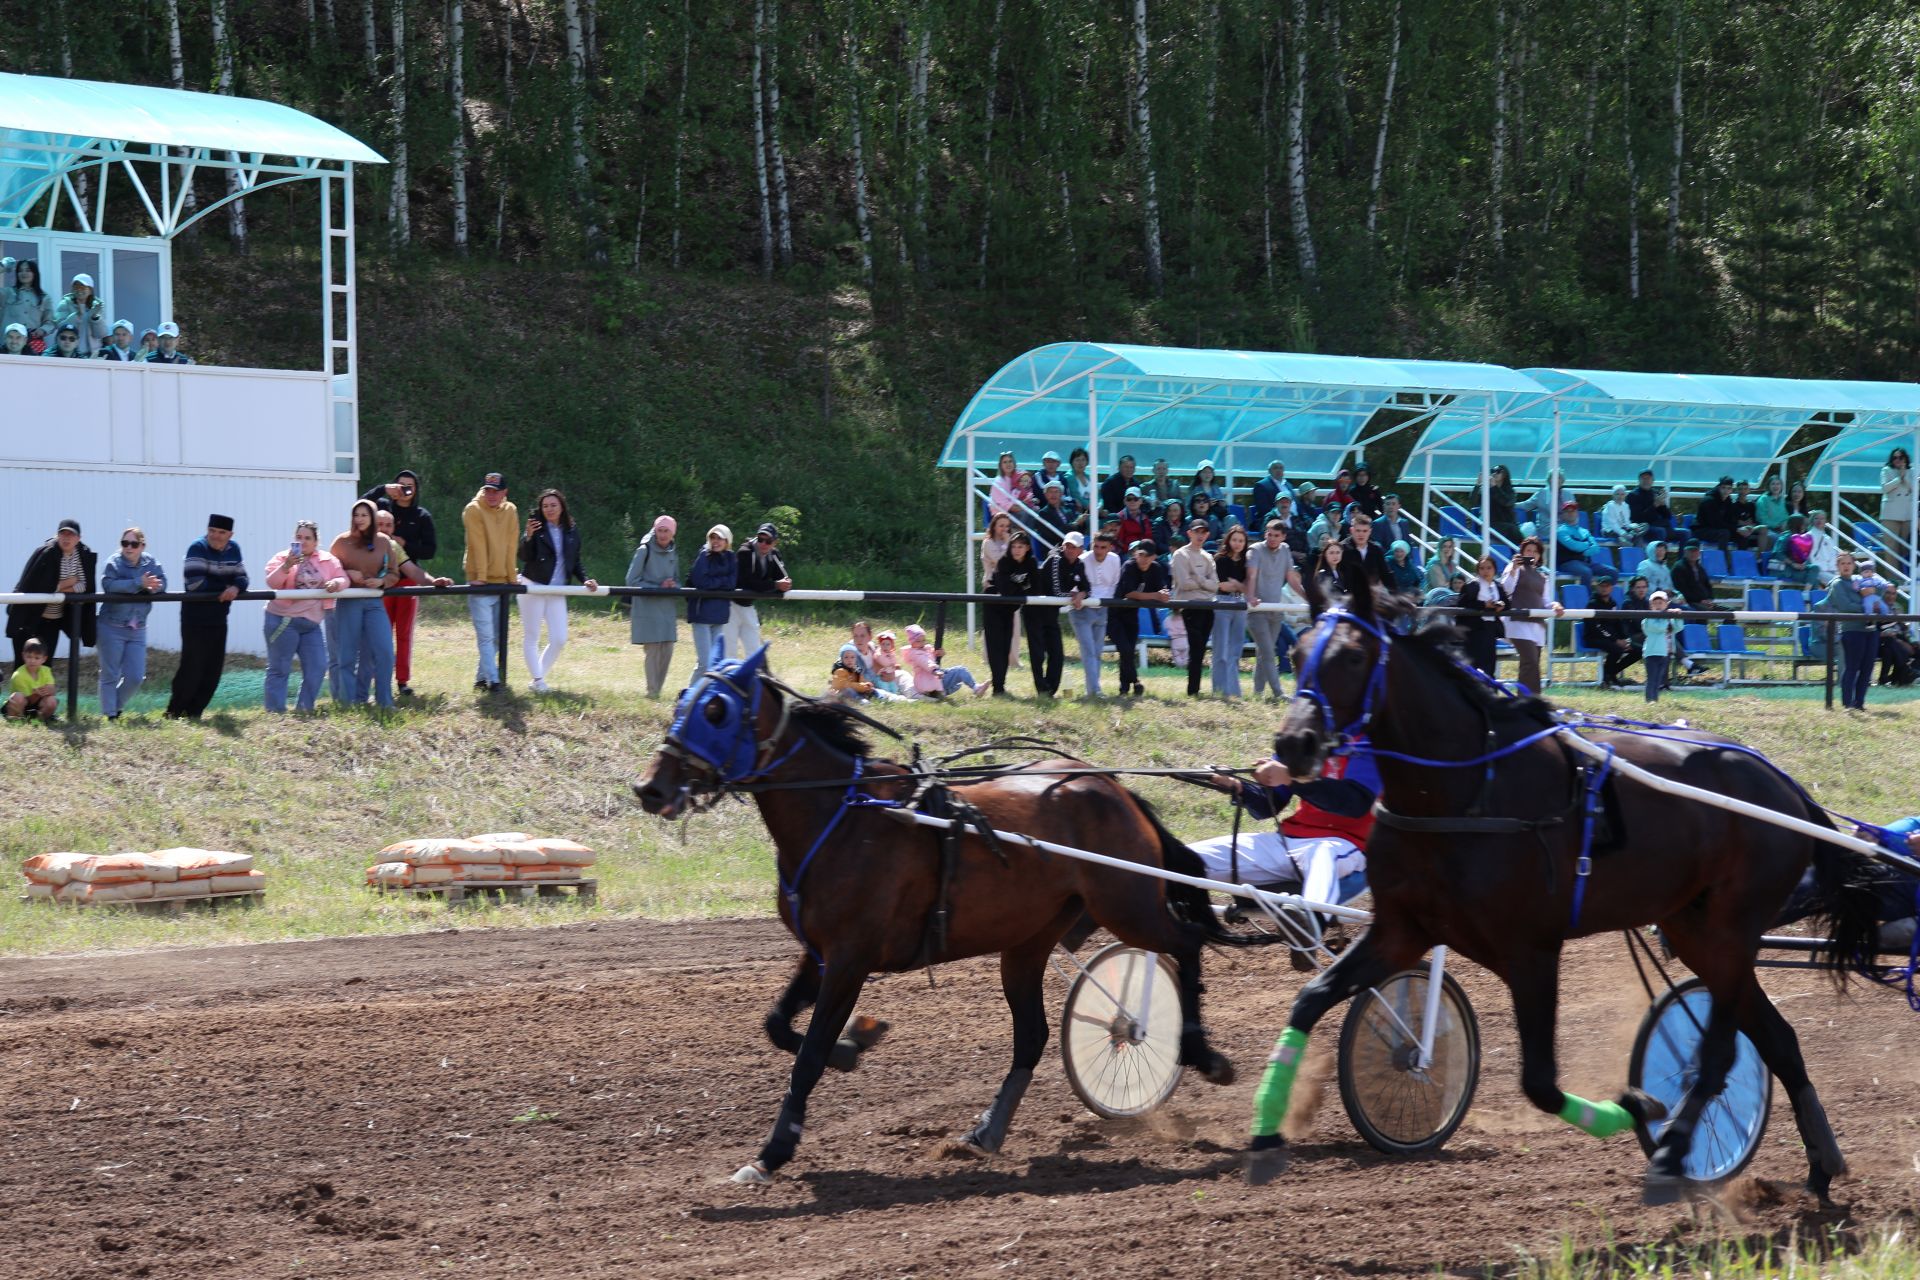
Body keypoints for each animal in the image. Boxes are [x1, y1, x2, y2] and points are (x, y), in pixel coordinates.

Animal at [622, 656, 1236, 1189]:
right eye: (682, 698)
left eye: (716, 710)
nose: (650, 786)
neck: (845, 815)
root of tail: (1111, 786)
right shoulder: (818, 952)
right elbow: (778, 1026)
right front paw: (855, 1044)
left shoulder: (850, 958)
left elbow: (810, 1054)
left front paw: (773, 1152)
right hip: (1028, 942)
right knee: (1033, 1036)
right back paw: (986, 1132)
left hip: (1127, 904)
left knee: (1186, 944)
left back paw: (1204, 1054)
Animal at [1244, 571, 1873, 1205]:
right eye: (1297, 653)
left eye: (1352, 656)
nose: (1294, 744)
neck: (1466, 791)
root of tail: (1786, 785)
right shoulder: (1402, 930)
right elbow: (1311, 998)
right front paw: (1266, 1132)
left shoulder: (1532, 951)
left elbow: (1541, 1083)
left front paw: (1636, 1106)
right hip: (1692, 928)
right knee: (1777, 1038)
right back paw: (1821, 1163)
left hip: (1731, 928)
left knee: (1722, 1050)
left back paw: (1673, 1154)